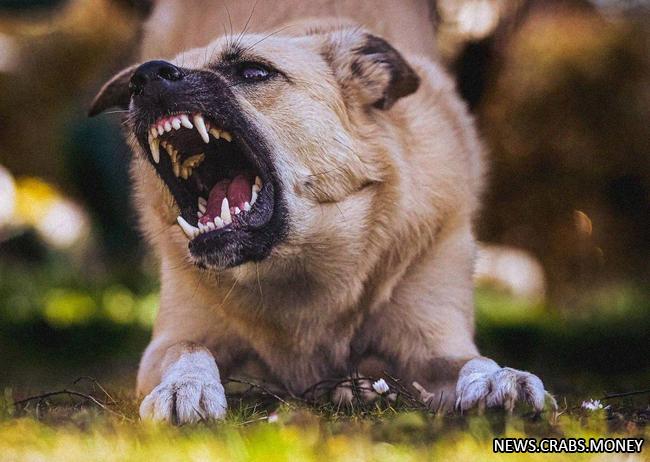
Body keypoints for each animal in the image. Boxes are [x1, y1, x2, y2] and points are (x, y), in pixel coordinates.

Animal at [88, 1, 548, 424]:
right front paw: (185, 386)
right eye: (140, 80)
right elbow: (188, 348)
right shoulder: (171, 340)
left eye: (254, 72)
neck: (300, 267)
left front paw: (497, 378)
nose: (145, 77)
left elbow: (471, 360)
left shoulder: (435, 342)